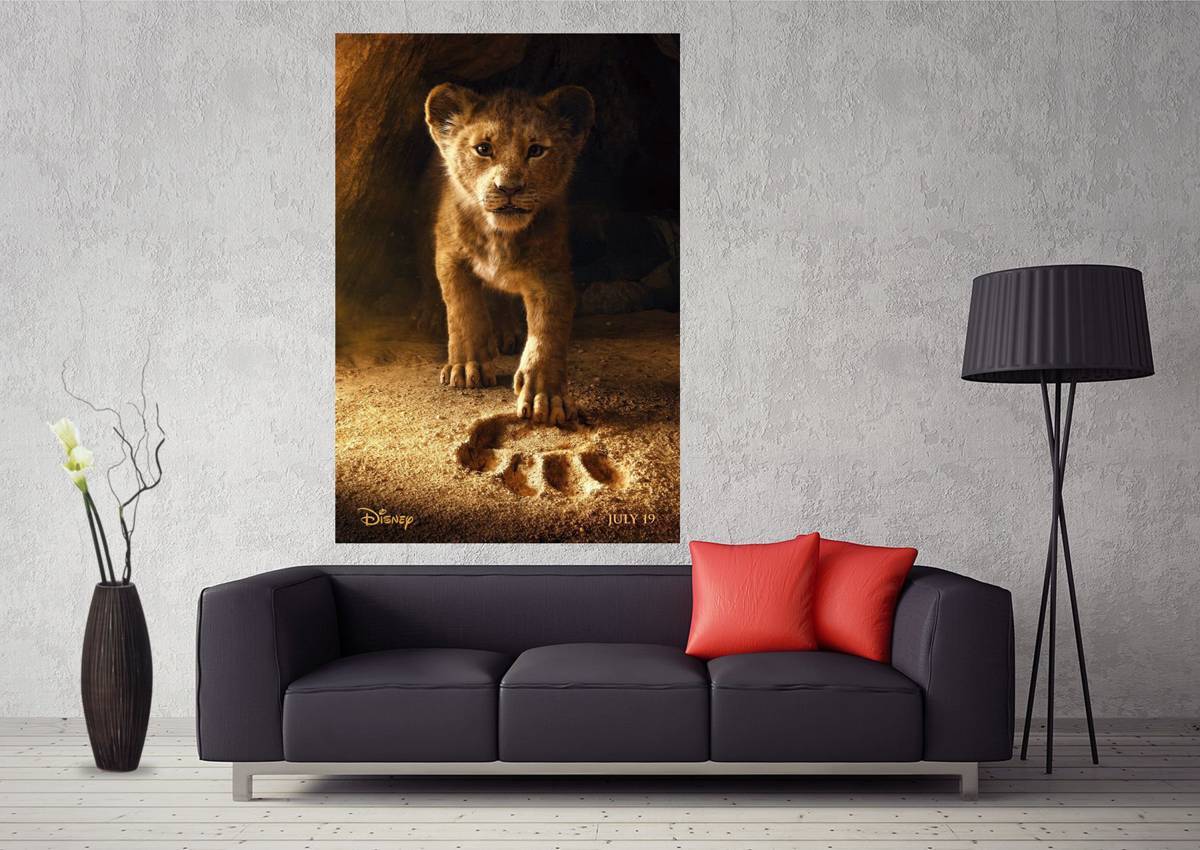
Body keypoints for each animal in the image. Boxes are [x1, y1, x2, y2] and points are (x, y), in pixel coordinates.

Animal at [424, 83, 594, 426]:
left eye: (536, 150)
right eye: (483, 149)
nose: (509, 188)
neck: (500, 235)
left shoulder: (551, 274)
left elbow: (548, 331)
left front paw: (546, 396)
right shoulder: (450, 256)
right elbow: (464, 310)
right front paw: (468, 366)